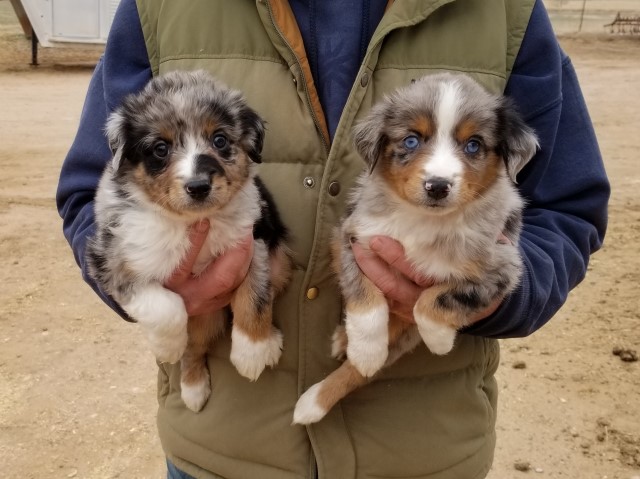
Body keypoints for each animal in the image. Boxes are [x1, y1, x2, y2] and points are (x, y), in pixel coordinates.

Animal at [87, 69, 292, 414]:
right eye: (160, 148)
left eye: (220, 140)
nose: (198, 186)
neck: (192, 222)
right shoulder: (113, 260)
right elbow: (166, 308)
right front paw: (167, 347)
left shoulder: (253, 240)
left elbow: (255, 296)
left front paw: (252, 352)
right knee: (194, 348)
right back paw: (193, 389)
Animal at [296, 73, 540, 426]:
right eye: (411, 141)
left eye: (474, 145)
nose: (437, 186)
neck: (425, 221)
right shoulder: (351, 237)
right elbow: (365, 300)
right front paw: (366, 349)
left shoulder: (503, 268)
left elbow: (433, 300)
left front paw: (439, 340)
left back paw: (312, 402)